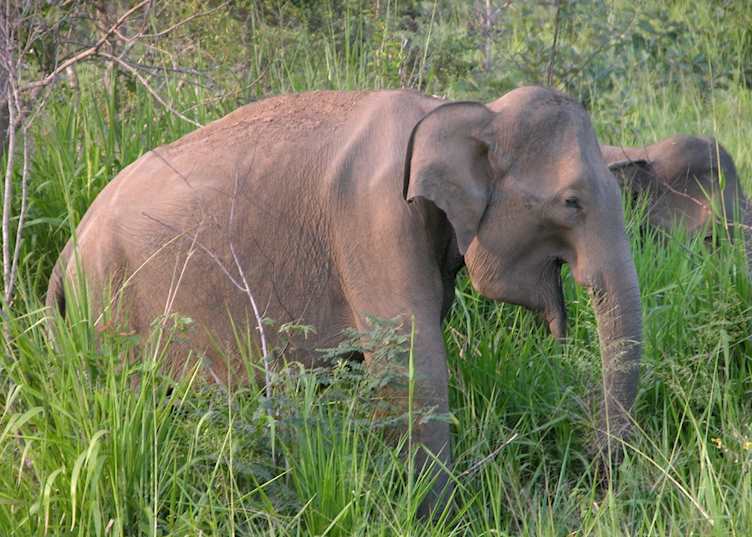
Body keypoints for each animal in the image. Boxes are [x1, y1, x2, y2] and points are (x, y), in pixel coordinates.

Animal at [46, 86, 643, 515]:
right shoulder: (374, 219)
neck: (459, 110)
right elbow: (413, 366)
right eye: (571, 202)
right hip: (110, 308)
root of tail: (64, 258)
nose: (595, 477)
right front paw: (438, 516)